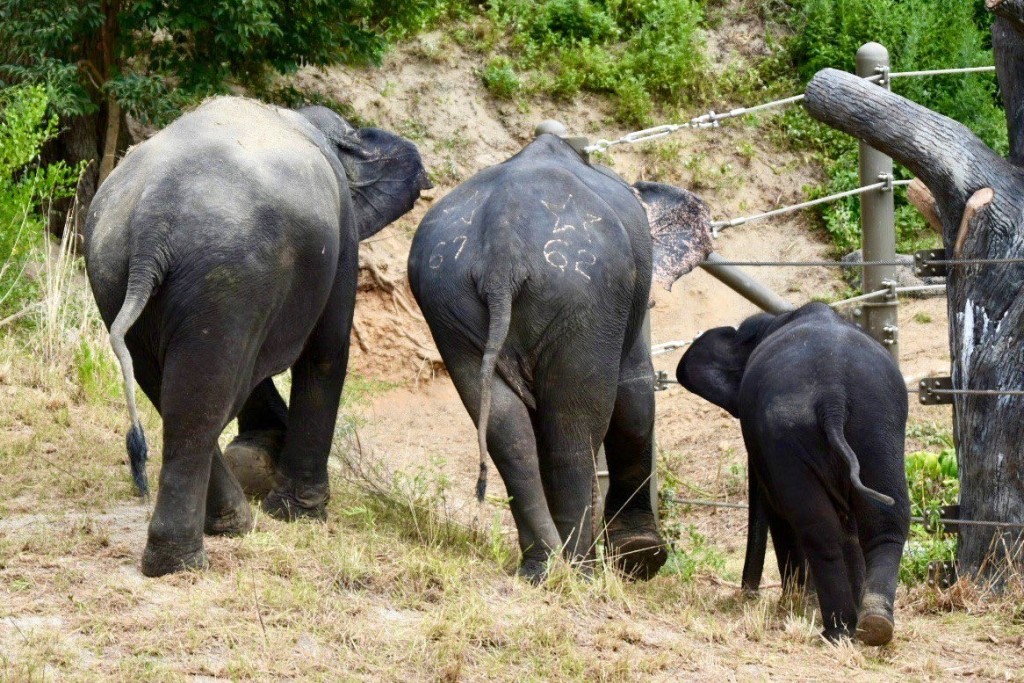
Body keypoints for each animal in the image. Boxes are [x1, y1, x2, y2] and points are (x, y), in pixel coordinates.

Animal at [82, 96, 428, 577]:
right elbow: (326, 352)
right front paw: (299, 514)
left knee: (180, 393)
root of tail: (152, 227)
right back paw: (188, 558)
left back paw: (223, 529)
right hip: (225, 275)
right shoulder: (342, 231)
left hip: (117, 275)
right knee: (203, 402)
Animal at [405, 136, 712, 585]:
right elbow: (634, 391)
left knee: (506, 429)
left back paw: (544, 567)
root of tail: (502, 252)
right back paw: (580, 571)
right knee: (573, 429)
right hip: (584, 300)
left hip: (447, 302)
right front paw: (640, 558)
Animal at [675, 303, 909, 647]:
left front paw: (796, 603)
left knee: (817, 529)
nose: (748, 593)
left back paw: (837, 630)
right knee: (885, 523)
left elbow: (778, 510)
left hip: (794, 433)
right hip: (877, 423)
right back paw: (874, 625)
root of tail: (832, 397)